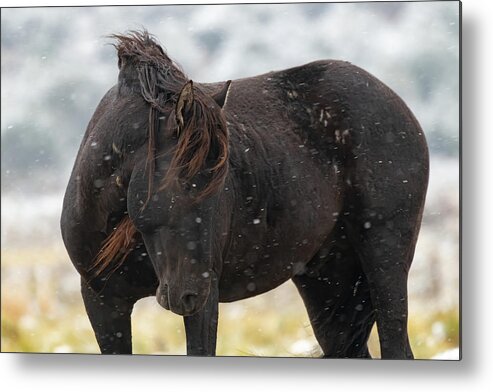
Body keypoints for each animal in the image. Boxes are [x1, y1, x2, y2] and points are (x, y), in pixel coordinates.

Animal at [59, 31, 426, 358]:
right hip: (326, 282)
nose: (189, 294)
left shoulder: (204, 304)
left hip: (383, 257)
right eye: (181, 182)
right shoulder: (103, 303)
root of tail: (400, 106)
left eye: (220, 187)